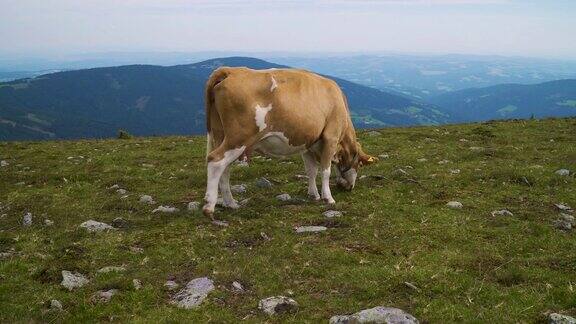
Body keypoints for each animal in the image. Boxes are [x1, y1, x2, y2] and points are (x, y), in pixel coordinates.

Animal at [202, 67, 378, 216]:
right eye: (360, 164)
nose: (349, 187)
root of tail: (230, 70)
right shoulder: (331, 137)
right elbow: (325, 170)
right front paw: (328, 198)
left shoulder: (308, 144)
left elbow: (311, 170)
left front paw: (313, 194)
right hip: (239, 136)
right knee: (215, 161)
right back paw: (209, 206)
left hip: (220, 134)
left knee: (225, 168)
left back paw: (230, 203)